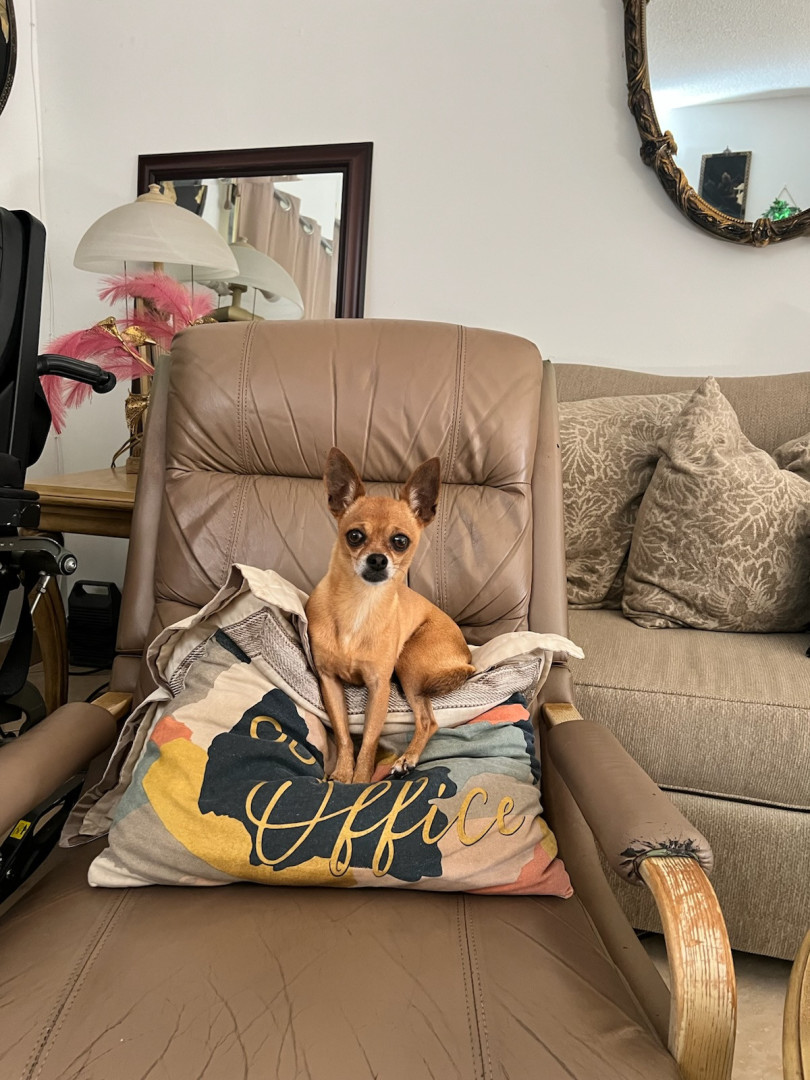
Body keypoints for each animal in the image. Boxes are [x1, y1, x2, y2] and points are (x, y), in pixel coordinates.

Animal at [306, 447, 476, 784]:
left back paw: (406, 759)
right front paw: (343, 773)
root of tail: (466, 654)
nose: (377, 559)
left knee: (427, 721)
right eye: (355, 536)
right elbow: (344, 734)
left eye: (400, 541)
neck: (361, 605)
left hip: (409, 663)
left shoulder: (378, 687)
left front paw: (359, 780)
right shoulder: (329, 681)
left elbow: (370, 739)